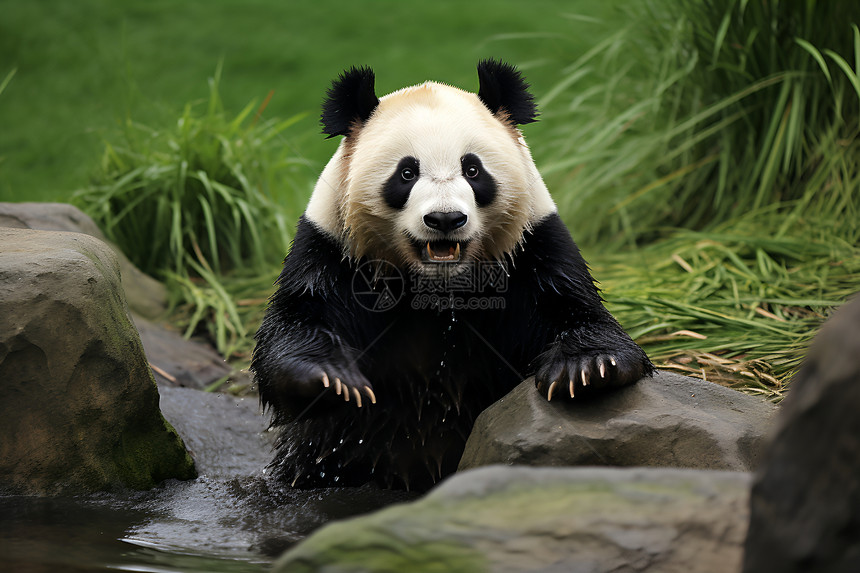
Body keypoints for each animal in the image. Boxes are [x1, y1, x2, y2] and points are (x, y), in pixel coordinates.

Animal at [252, 60, 656, 490]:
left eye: (473, 169)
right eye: (406, 173)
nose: (445, 219)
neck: (438, 285)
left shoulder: (532, 248)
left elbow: (577, 309)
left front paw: (587, 368)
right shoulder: (333, 251)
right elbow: (296, 325)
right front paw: (331, 379)